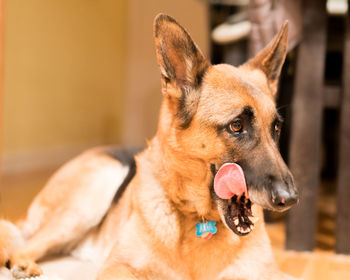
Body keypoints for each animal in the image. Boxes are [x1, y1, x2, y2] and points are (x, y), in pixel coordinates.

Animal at [1, 13, 300, 280]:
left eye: (276, 128)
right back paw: (24, 265)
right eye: (237, 126)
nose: (291, 199)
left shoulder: (269, 273)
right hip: (96, 188)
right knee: (21, 247)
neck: (199, 217)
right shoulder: (117, 268)